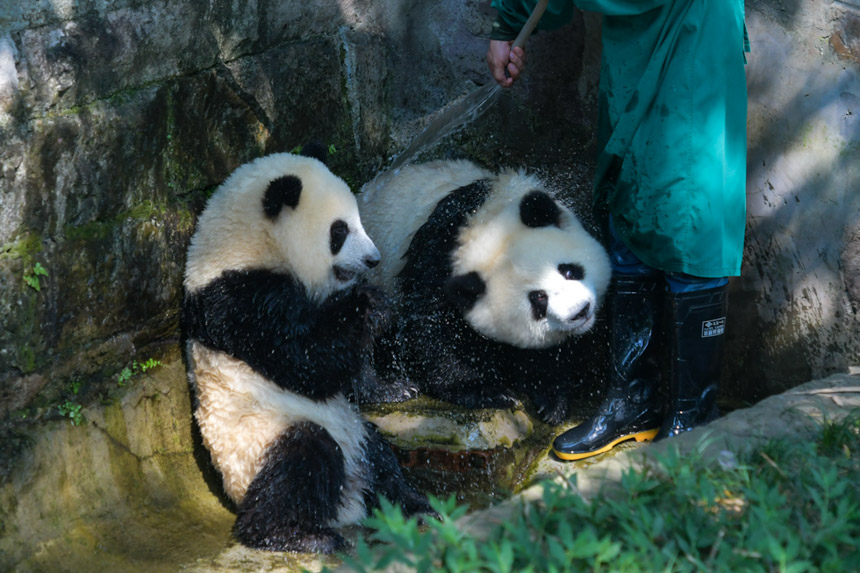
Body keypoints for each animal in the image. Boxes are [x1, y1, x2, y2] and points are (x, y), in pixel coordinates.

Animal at [179, 149, 434, 556]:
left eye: (358, 220)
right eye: (339, 231)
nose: (373, 260)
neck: (244, 246)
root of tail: (348, 504)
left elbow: (345, 370)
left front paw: (395, 387)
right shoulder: (240, 299)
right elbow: (306, 360)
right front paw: (369, 303)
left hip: (354, 433)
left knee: (380, 457)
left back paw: (414, 507)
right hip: (254, 445)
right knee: (302, 459)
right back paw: (298, 534)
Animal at [360, 160, 616, 424]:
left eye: (568, 271)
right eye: (539, 299)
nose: (580, 312)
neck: (488, 226)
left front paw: (551, 399)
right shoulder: (435, 262)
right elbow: (435, 329)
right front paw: (488, 392)